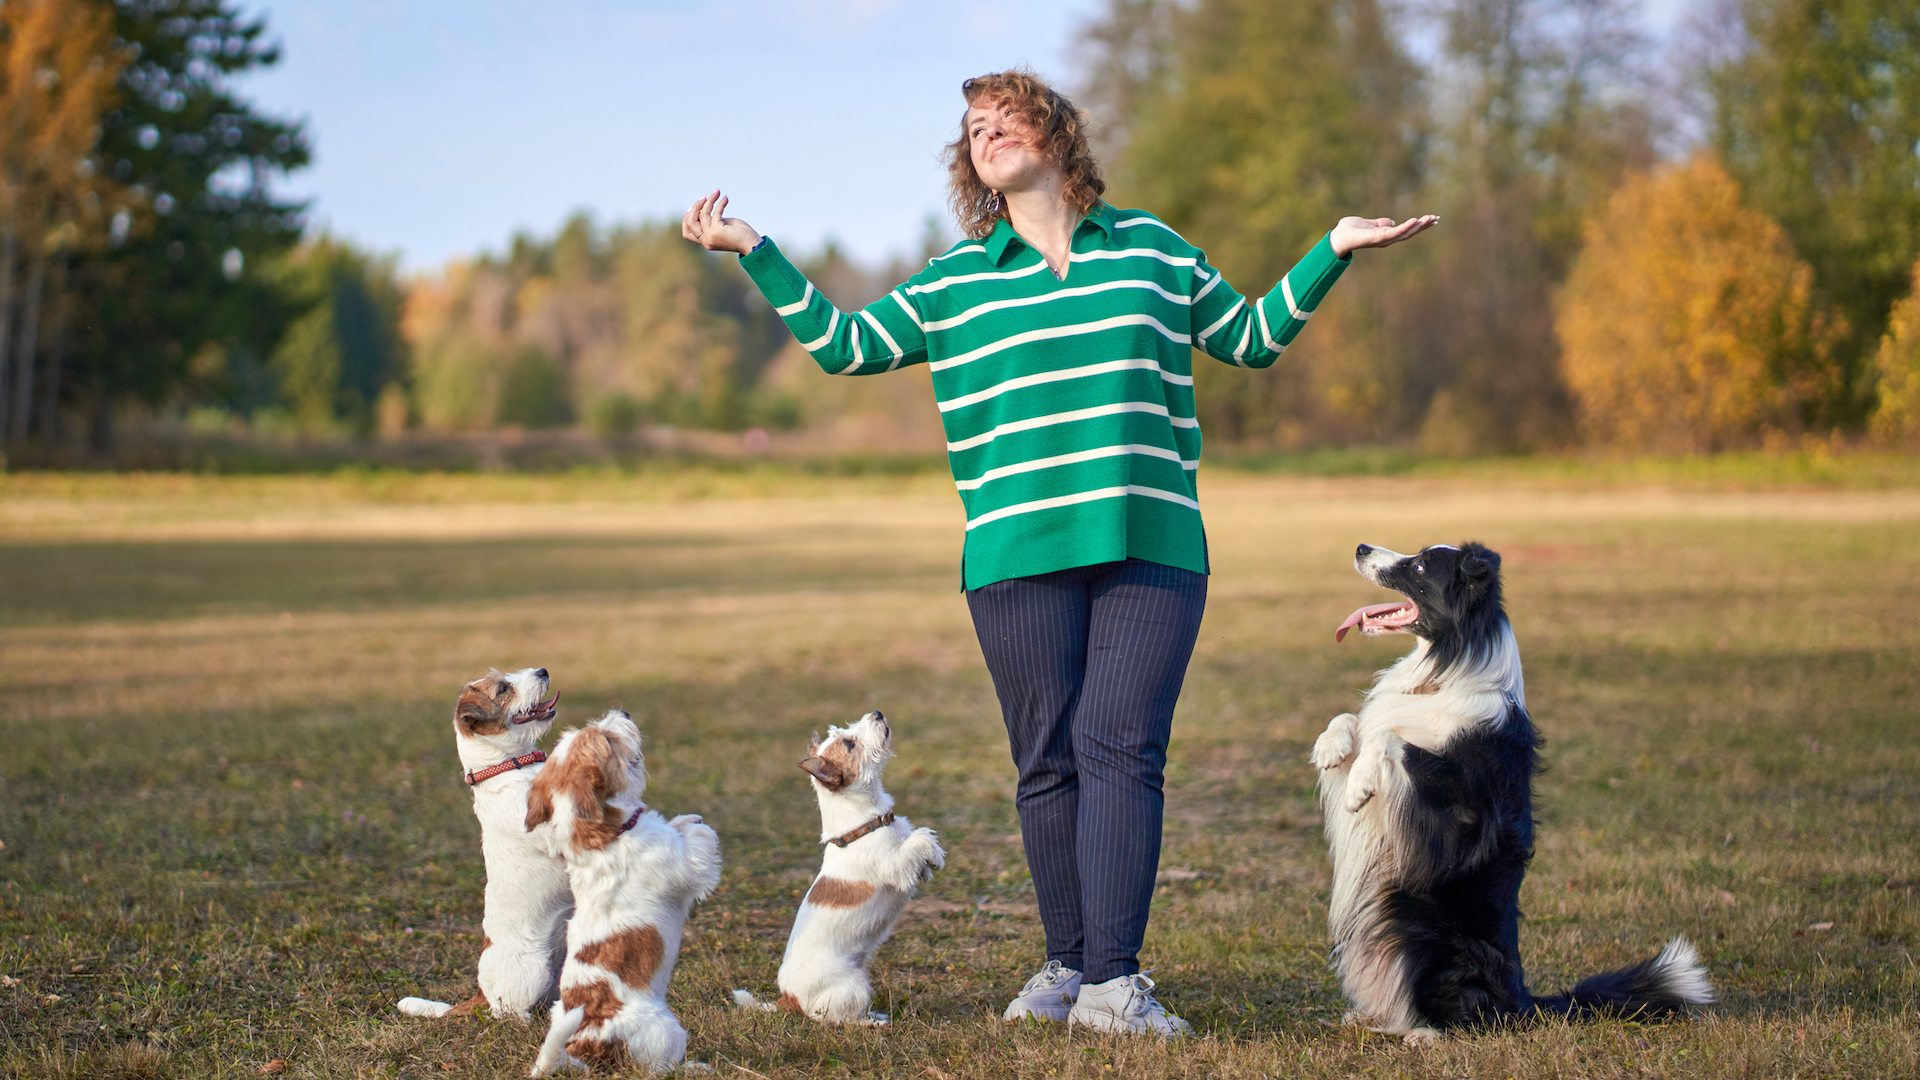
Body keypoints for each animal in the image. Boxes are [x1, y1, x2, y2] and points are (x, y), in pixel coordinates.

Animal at [393, 664, 564, 1014]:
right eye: (502, 689)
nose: (542, 670)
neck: (507, 767)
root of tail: (481, 993)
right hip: (534, 973)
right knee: (505, 1013)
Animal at [526, 711, 721, 1068]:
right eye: (607, 738)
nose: (624, 714)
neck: (602, 837)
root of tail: (585, 1046)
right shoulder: (685, 863)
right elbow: (695, 843)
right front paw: (695, 823)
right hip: (667, 1031)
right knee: (661, 1068)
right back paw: (696, 1067)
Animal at [729, 711, 940, 1022]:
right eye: (850, 744)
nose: (877, 713)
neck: (863, 823)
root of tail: (789, 998)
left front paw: (930, 862)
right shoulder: (894, 865)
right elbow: (918, 839)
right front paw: (932, 852)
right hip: (854, 987)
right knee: (835, 1020)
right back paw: (871, 1023)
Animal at [1313, 541, 1720, 1037]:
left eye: (1421, 566)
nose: (1360, 547)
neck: (1445, 669)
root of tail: (1524, 999)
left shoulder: (1464, 810)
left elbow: (1390, 739)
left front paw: (1358, 786)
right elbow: (1355, 722)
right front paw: (1331, 748)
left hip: (1430, 943)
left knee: (1479, 1014)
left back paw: (1426, 1033)